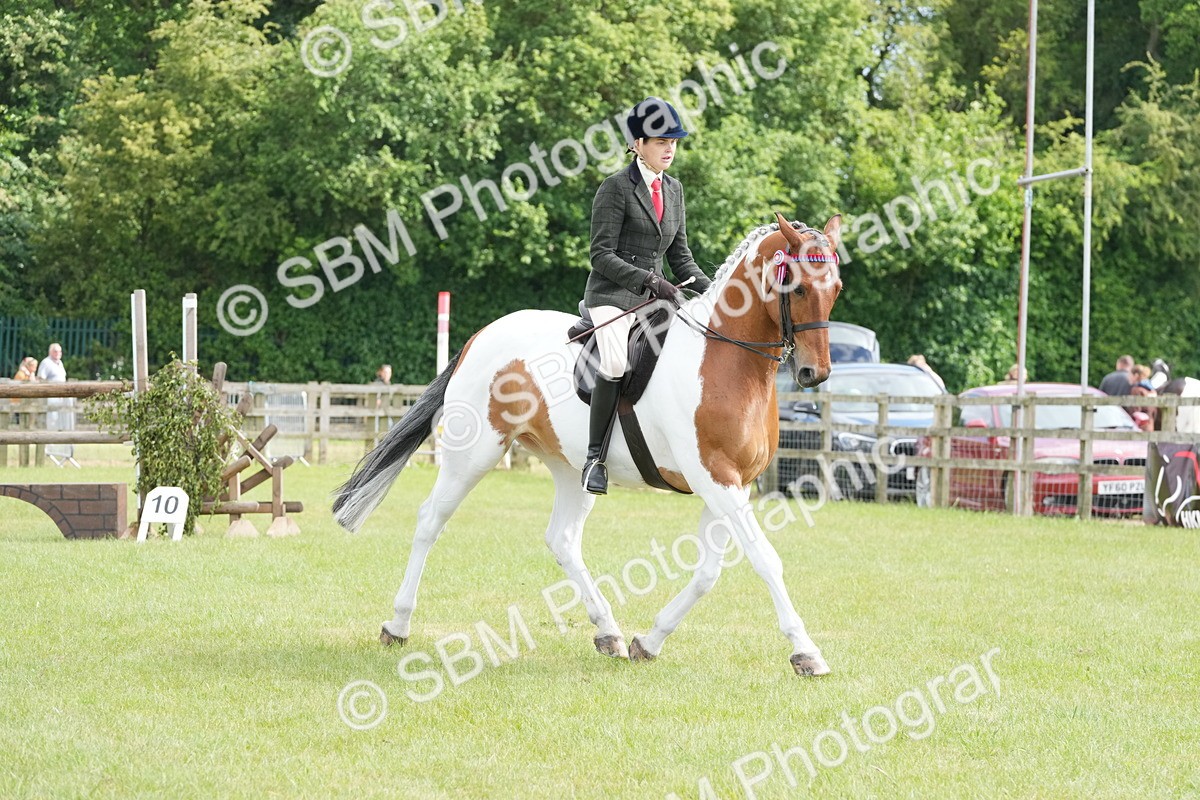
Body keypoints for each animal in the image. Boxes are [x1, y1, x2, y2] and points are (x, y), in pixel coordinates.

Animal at [333, 212, 843, 675]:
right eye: (798, 288)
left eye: (835, 289)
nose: (813, 374)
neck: (723, 357)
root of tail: (482, 335)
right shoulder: (715, 478)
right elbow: (765, 560)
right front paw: (806, 653)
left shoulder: (728, 484)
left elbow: (707, 573)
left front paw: (649, 641)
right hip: (473, 455)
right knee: (429, 521)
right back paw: (397, 625)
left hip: (569, 466)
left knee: (562, 539)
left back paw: (609, 632)